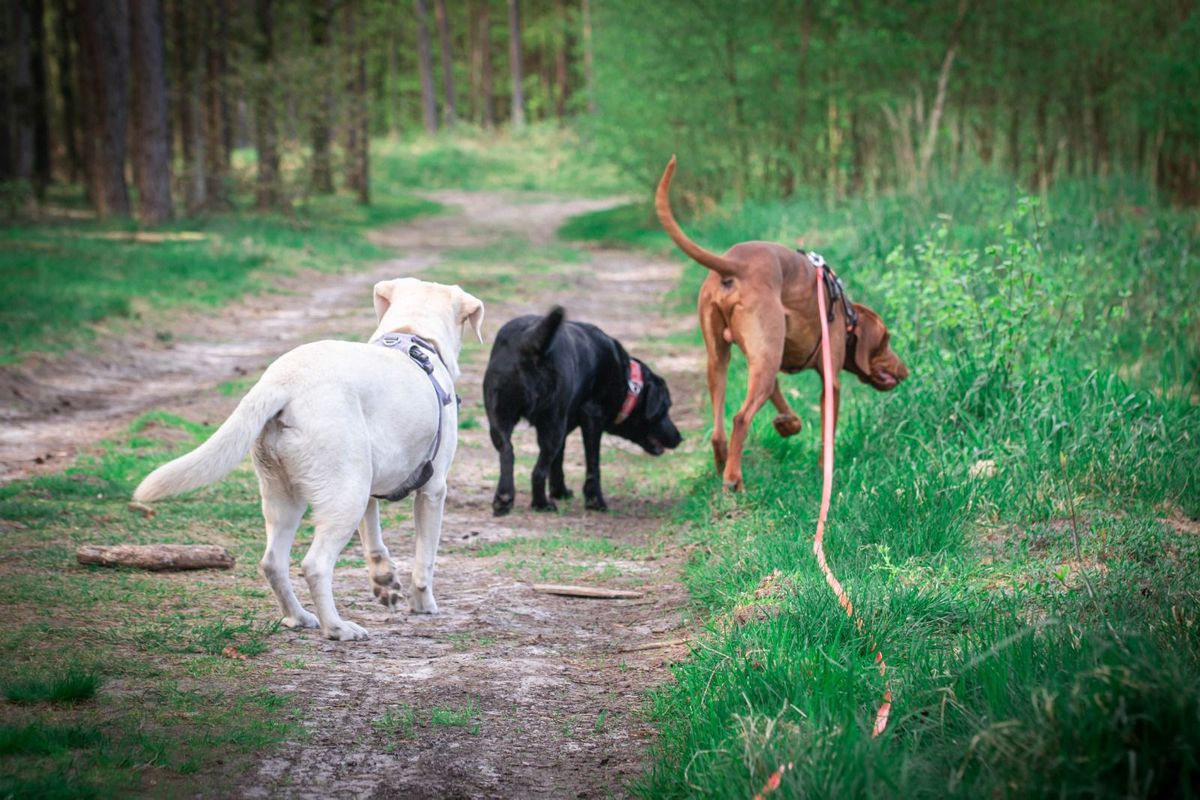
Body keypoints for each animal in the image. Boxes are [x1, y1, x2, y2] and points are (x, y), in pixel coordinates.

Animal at [135, 278, 482, 642]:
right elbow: (424, 558)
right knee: (314, 565)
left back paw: (299, 617)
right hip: (344, 498)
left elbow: (374, 543)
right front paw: (423, 603)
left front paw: (385, 582)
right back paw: (338, 628)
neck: (412, 333)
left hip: (289, 496)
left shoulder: (369, 491)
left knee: (272, 563)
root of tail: (282, 383)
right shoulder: (433, 491)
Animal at [482, 303, 681, 515]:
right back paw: (541, 503)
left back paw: (504, 498)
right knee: (538, 470)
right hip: (552, 424)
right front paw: (595, 501)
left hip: (500, 419)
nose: (680, 437)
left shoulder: (565, 426)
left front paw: (560, 491)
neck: (628, 382)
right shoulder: (591, 419)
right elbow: (593, 464)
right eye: (666, 407)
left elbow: (558, 461)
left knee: (508, 451)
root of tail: (529, 340)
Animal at [657, 157, 907, 491]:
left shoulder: (770, 363)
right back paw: (734, 480)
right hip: (760, 358)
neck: (847, 316)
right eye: (887, 339)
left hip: (725, 359)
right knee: (740, 418)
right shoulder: (830, 382)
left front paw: (788, 424)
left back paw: (722, 467)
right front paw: (824, 472)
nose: (905, 369)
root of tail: (736, 264)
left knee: (718, 430)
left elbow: (783, 402)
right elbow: (827, 435)